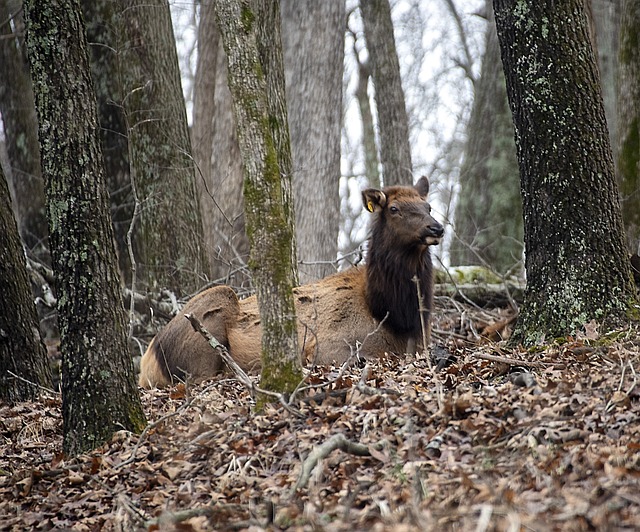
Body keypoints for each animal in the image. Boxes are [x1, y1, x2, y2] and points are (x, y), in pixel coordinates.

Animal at [138, 177, 442, 388]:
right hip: (210, 317)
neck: (395, 316)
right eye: (394, 208)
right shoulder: (325, 346)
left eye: (428, 206)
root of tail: (148, 358)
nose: (436, 227)